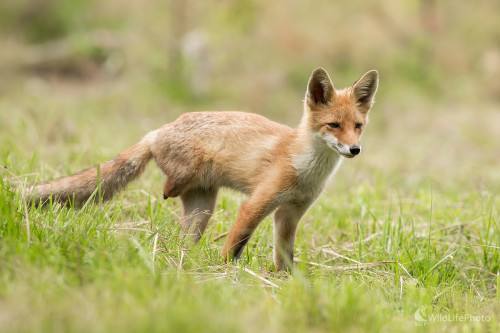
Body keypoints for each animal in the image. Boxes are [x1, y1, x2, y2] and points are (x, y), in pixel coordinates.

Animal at [28, 68, 378, 270]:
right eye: (333, 125)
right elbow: (235, 243)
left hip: (202, 210)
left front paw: (285, 282)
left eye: (358, 126)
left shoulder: (290, 213)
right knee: (167, 187)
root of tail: (157, 130)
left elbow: (284, 256)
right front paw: (224, 271)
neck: (305, 167)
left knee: (182, 239)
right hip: (188, 176)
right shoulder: (257, 203)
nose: (355, 149)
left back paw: (182, 258)